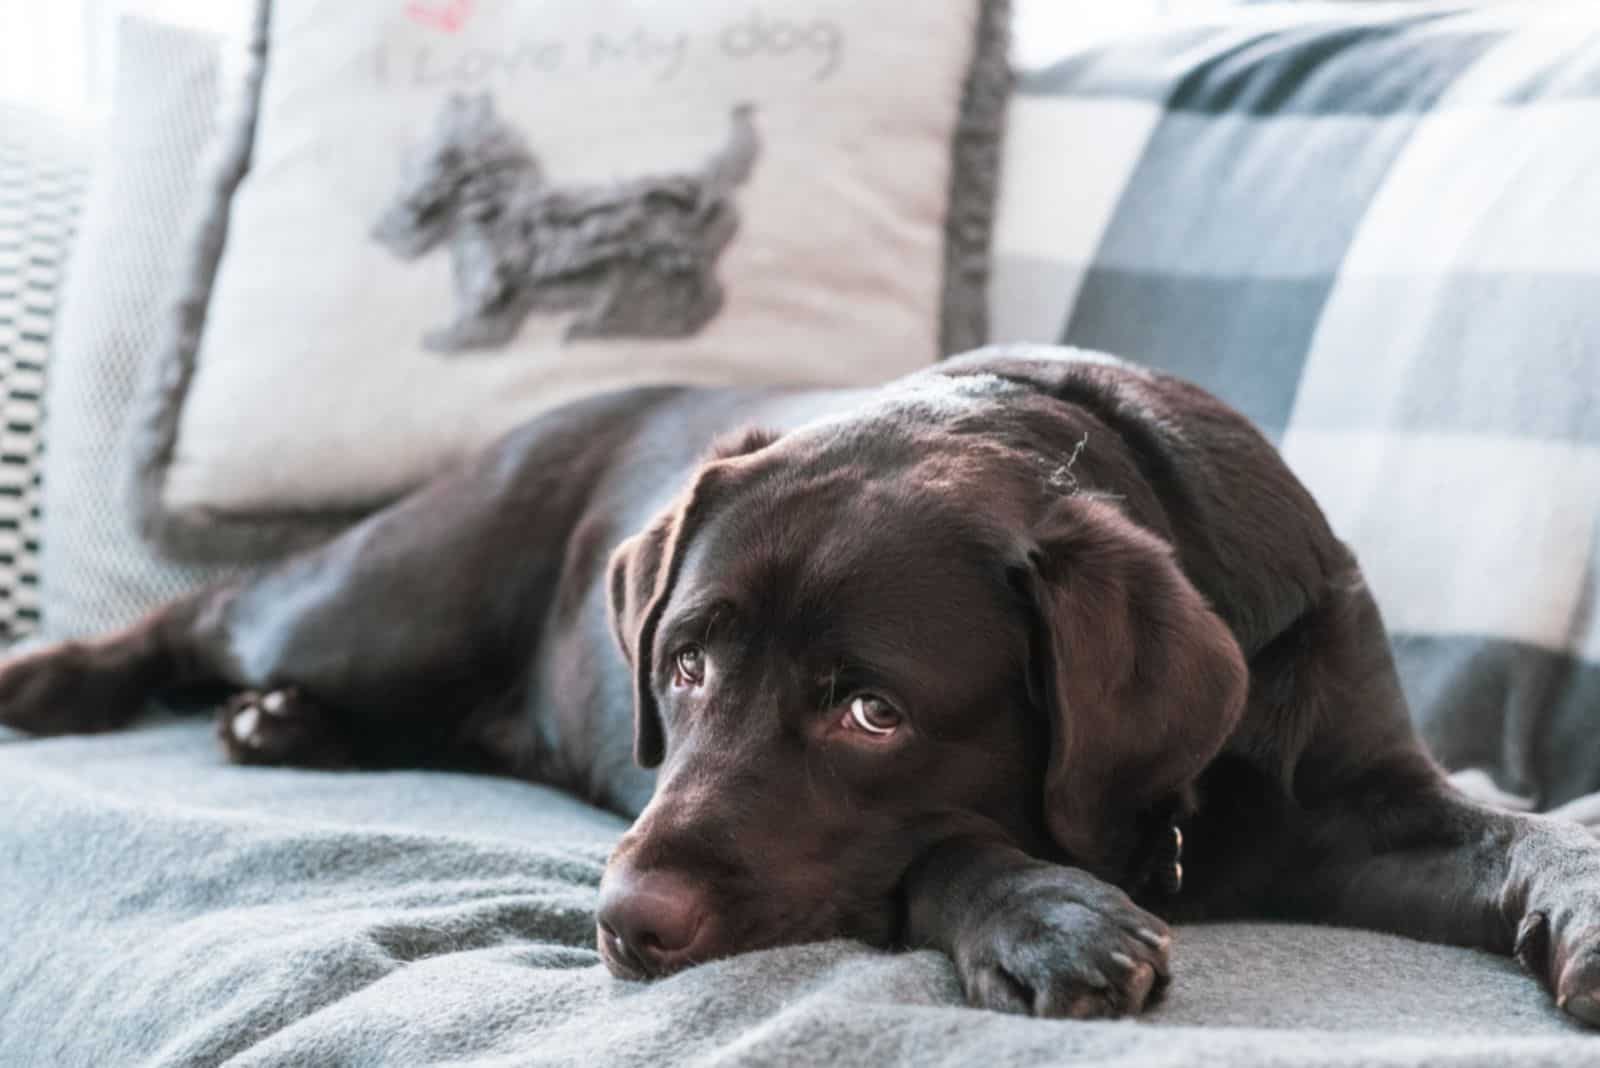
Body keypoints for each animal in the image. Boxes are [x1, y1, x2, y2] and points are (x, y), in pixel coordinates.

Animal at [371, 91, 758, 350]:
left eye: (426, 159)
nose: (379, 228)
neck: (491, 203)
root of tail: (708, 184)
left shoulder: (488, 289)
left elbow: (478, 326)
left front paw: (442, 339)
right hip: (640, 272)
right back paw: (601, 324)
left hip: (653, 268)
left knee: (702, 300)